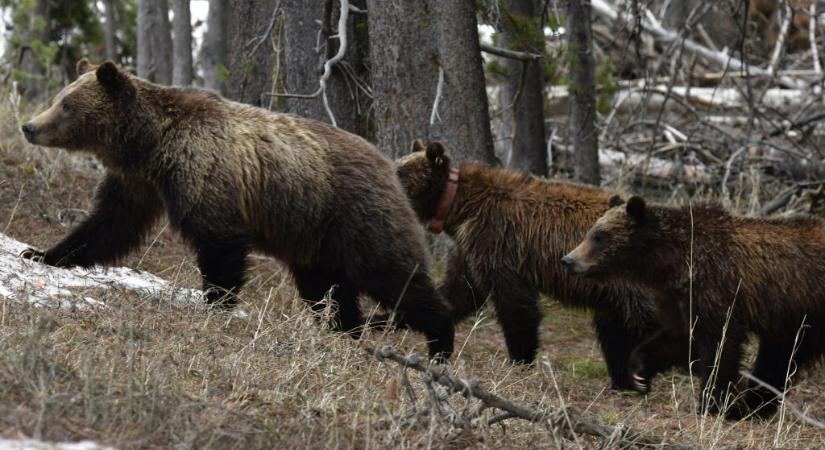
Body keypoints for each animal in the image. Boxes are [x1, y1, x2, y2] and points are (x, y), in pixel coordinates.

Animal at [19, 59, 454, 360]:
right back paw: (344, 332)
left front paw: (216, 302)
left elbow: (219, 242)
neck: (150, 145)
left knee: (394, 277)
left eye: (66, 105)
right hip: (315, 240)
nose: (29, 126)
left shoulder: (204, 170)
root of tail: (388, 165)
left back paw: (440, 344)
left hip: (356, 216)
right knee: (327, 290)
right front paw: (42, 253)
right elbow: (107, 225)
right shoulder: (138, 183)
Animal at [394, 142, 676, 390]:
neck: (458, 209)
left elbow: (516, 306)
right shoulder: (468, 250)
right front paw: (393, 319)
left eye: (400, 171)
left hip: (633, 284)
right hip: (615, 292)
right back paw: (624, 382)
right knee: (615, 331)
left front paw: (519, 361)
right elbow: (458, 292)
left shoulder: (498, 242)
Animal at [564, 197, 824, 418]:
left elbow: (720, 345)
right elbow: (678, 339)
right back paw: (754, 406)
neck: (673, 263)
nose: (568, 260)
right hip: (794, 323)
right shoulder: (677, 299)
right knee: (779, 359)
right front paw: (639, 373)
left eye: (600, 236)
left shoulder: (714, 289)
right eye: (590, 232)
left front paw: (712, 404)